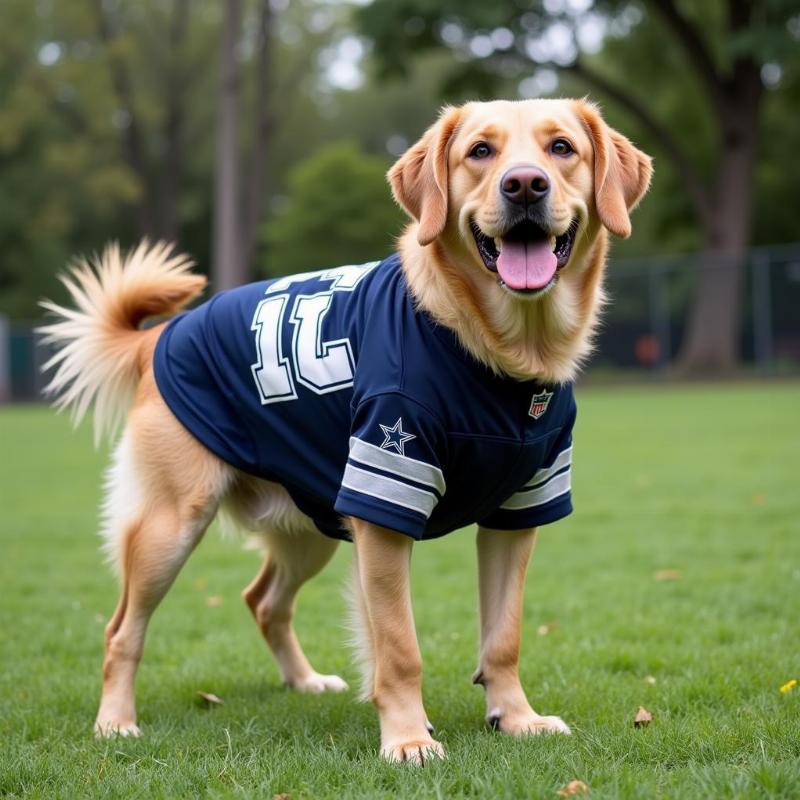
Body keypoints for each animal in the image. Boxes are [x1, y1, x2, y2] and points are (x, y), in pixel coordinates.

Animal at [40, 98, 648, 764]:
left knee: (263, 601)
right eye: (480, 152)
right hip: (170, 528)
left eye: (561, 148)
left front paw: (514, 718)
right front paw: (408, 737)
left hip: (313, 526)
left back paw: (303, 681)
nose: (524, 184)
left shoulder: (517, 514)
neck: (501, 357)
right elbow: (400, 648)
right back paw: (115, 721)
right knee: (122, 629)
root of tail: (162, 336)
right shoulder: (385, 501)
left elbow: (503, 637)